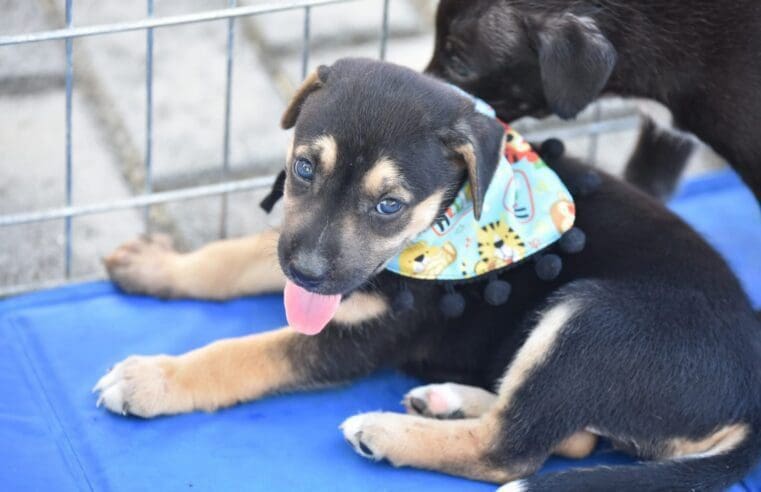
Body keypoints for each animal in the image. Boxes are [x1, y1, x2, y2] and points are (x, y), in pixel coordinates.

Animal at [98, 58, 760, 492]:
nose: (307, 273)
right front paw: (160, 266)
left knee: (513, 451)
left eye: (389, 205)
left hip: (594, 323)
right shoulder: (301, 253)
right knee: (569, 435)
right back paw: (447, 399)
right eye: (304, 168)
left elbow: (246, 353)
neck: (445, 222)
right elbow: (232, 256)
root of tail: (750, 401)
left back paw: (387, 431)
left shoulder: (361, 337)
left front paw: (153, 380)